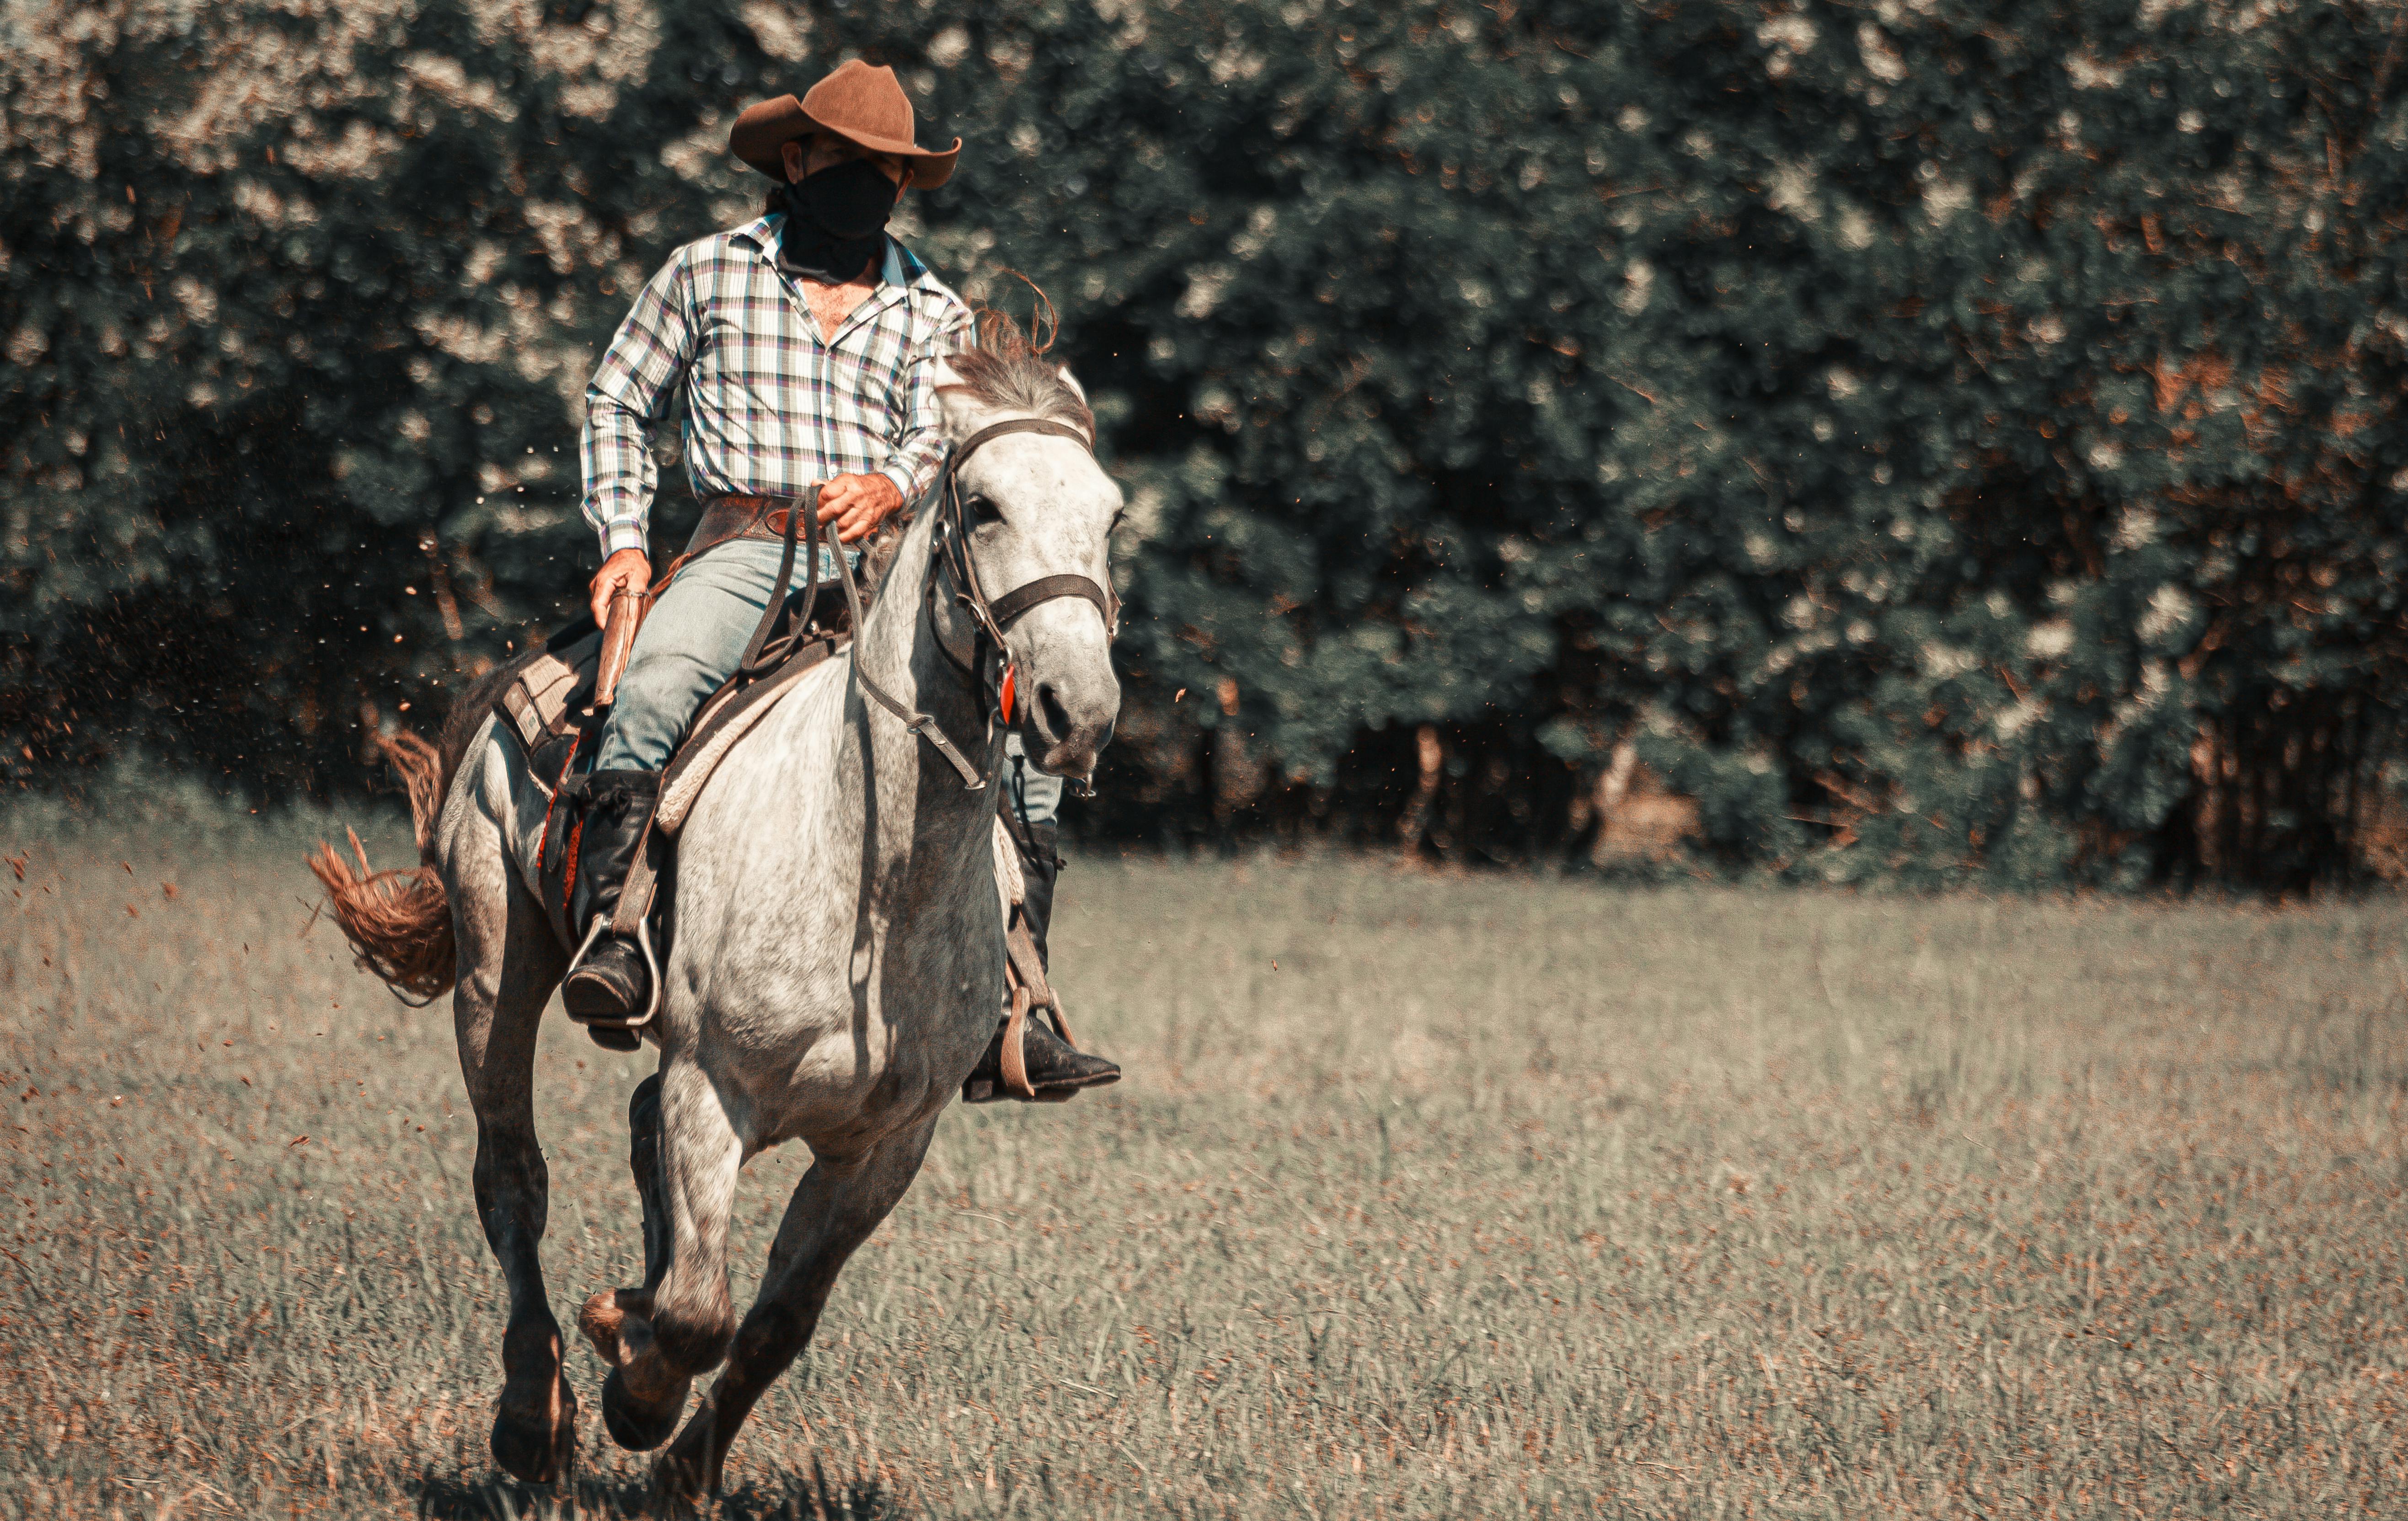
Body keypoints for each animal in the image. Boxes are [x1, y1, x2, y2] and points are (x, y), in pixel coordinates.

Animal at [308, 334, 1117, 1501]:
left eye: (1109, 517)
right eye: (985, 505)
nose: (1076, 710)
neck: (873, 884)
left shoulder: (886, 1145)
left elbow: (775, 1322)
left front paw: (682, 1463)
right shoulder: (713, 1088)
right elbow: (699, 1313)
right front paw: (636, 1397)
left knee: (629, 1142)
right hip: (495, 971)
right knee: (512, 1179)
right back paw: (531, 1417)